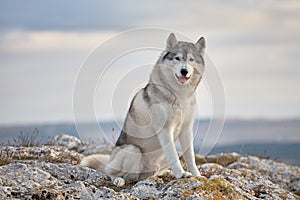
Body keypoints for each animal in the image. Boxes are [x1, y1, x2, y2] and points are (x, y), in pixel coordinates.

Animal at [81, 32, 205, 187]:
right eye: (177, 58)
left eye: (191, 59)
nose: (184, 71)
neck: (179, 95)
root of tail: (110, 160)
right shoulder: (165, 131)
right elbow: (174, 157)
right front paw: (181, 174)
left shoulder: (186, 130)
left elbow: (190, 158)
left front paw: (197, 176)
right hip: (132, 150)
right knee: (113, 173)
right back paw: (119, 180)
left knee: (145, 175)